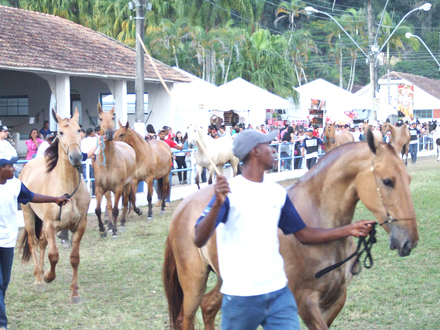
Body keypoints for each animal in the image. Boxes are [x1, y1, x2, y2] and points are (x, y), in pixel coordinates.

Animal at [19, 109, 90, 302]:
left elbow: (74, 258)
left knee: (42, 242)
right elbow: (54, 255)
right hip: (28, 214)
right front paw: (49, 277)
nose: (76, 157)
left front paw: (74, 293)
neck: (67, 187)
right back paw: (39, 278)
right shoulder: (51, 225)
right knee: (34, 242)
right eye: (61, 132)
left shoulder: (80, 226)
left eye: (79, 130)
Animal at [94, 104, 138, 236]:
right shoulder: (100, 188)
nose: (109, 133)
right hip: (108, 190)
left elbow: (115, 210)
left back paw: (122, 222)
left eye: (113, 118)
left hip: (127, 184)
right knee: (109, 205)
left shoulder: (118, 188)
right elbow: (98, 210)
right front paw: (103, 229)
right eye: (101, 118)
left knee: (125, 202)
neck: (108, 163)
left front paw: (114, 230)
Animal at [162, 127, 420, 328]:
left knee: (208, 307)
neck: (318, 221)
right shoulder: (305, 302)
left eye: (408, 179)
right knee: (186, 317)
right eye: (388, 181)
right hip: (193, 281)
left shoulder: (336, 299)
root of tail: (183, 207)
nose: (410, 240)